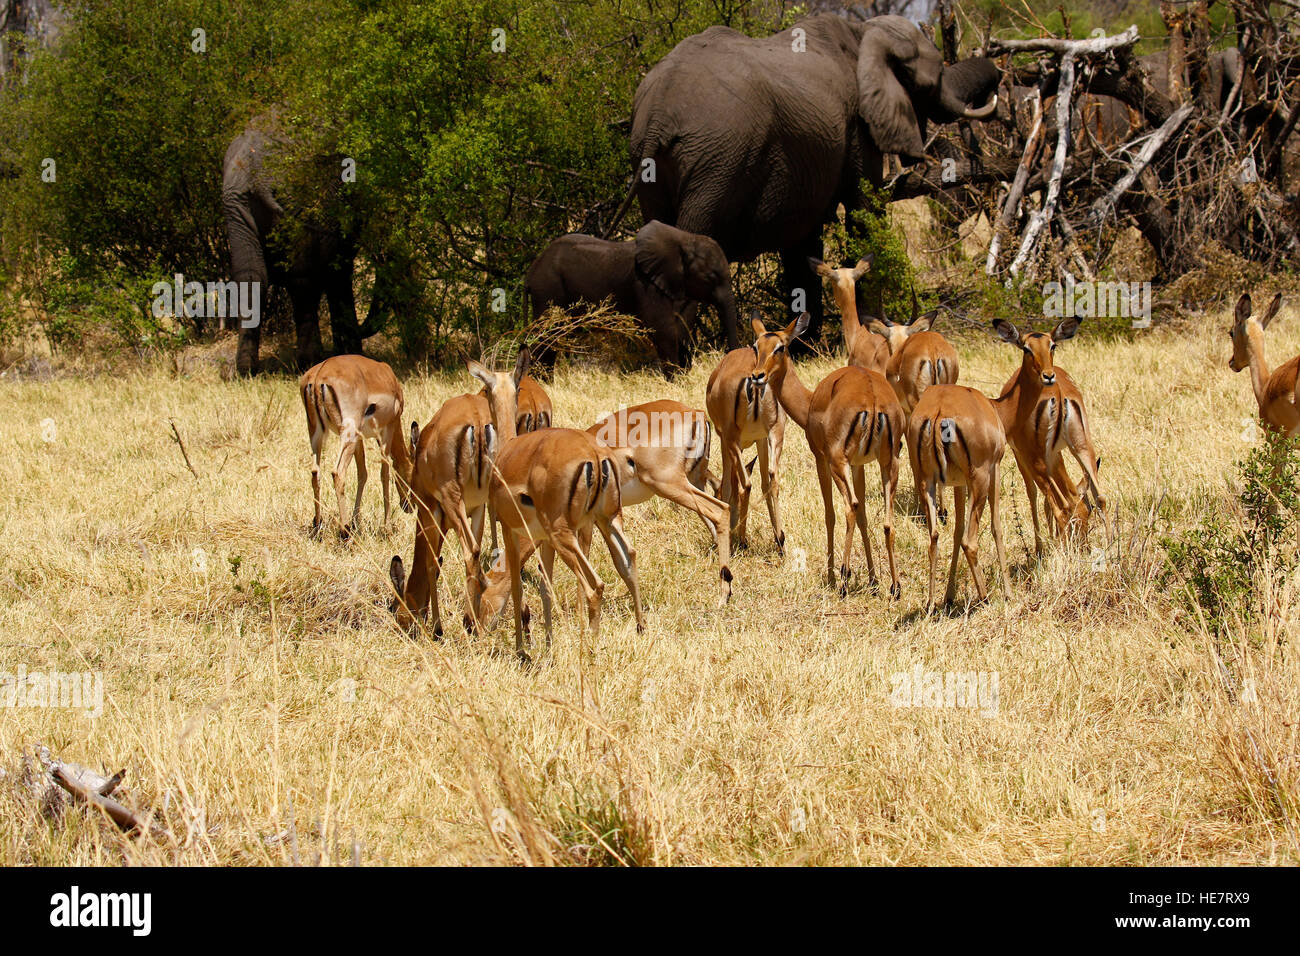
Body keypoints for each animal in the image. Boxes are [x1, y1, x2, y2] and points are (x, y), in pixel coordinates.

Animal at [220, 117, 392, 374]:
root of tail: (257, 177)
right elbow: (337, 272)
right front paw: (351, 354)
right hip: (297, 199)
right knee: (302, 279)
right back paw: (310, 361)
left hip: (237, 208)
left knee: (251, 278)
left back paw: (246, 369)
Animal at [520, 218, 738, 369]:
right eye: (711, 277)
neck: (685, 239)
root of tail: (530, 273)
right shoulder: (645, 284)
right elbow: (663, 329)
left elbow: (681, 329)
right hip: (548, 288)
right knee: (547, 337)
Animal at [629, 13, 993, 348]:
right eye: (935, 79)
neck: (864, 33)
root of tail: (658, 111)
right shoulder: (859, 130)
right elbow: (864, 211)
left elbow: (803, 241)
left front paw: (808, 348)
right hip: (718, 162)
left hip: (655, 165)